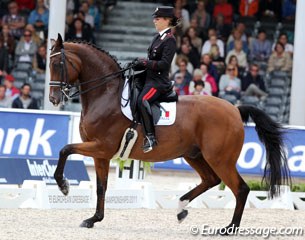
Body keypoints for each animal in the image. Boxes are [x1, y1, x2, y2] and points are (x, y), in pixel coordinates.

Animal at [48, 34, 288, 232]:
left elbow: (64, 150)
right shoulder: (101, 153)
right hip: (194, 155)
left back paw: (230, 227)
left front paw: (63, 186)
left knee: (240, 189)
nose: (53, 99)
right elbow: (101, 186)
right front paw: (93, 219)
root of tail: (235, 110)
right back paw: (181, 208)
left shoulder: (101, 147)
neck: (106, 94)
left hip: (220, 159)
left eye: (58, 64)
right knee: (211, 180)